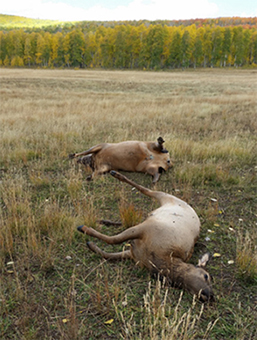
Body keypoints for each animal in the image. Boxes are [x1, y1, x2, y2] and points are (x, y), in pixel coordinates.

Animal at [77, 171, 213, 302]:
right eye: (206, 276)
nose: (210, 295)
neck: (161, 260)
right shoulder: (144, 229)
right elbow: (113, 239)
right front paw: (84, 229)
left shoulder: (132, 253)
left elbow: (109, 254)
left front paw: (91, 244)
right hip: (165, 196)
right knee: (146, 190)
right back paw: (116, 174)